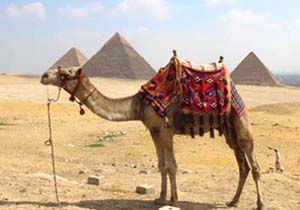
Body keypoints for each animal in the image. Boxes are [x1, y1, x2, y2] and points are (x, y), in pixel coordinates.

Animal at [41, 64, 264, 210]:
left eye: (66, 72)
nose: (44, 75)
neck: (139, 105)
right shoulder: (154, 131)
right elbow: (161, 165)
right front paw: (161, 198)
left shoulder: (166, 131)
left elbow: (172, 166)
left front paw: (174, 200)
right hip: (229, 131)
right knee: (242, 166)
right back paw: (233, 201)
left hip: (240, 119)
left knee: (253, 164)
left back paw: (260, 204)